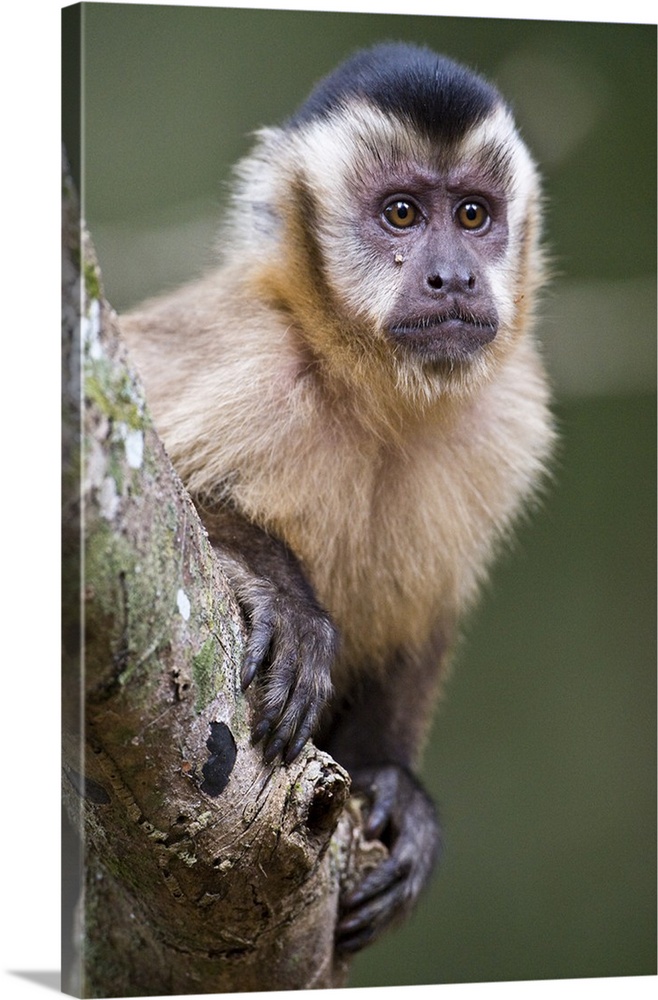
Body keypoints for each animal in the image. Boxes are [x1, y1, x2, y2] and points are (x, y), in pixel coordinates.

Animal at [119, 45, 552, 952]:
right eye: (400, 214)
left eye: (472, 215)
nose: (453, 275)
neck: (366, 382)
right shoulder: (251, 358)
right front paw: (282, 594)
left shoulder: (508, 418)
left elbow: (428, 606)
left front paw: (395, 784)